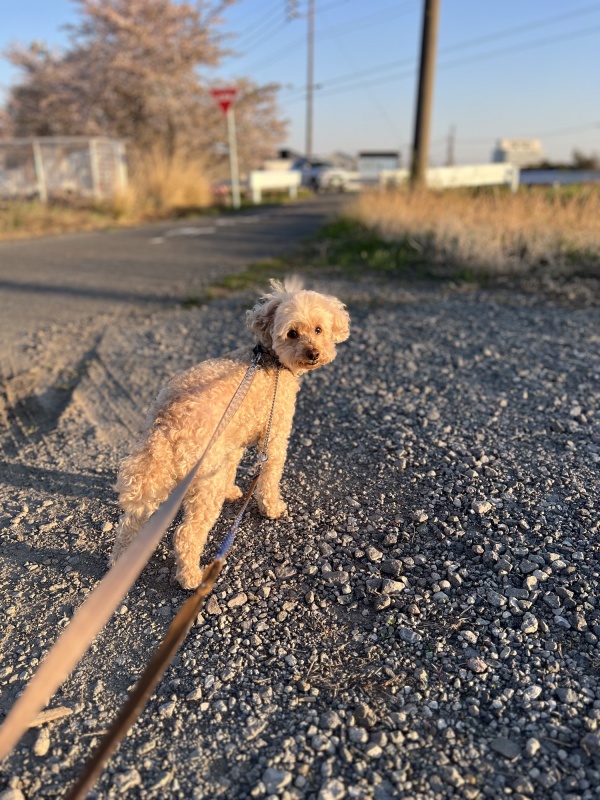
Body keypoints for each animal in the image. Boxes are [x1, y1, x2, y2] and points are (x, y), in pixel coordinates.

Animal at [109, 278, 350, 589]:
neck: (272, 360)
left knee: (130, 524)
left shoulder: (232, 442)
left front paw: (232, 490)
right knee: (186, 534)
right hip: (204, 483)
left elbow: (233, 467)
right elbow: (269, 477)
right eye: (292, 334)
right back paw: (192, 578)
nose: (313, 354)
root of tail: (164, 425)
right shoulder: (274, 434)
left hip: (162, 478)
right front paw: (272, 507)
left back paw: (119, 568)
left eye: (318, 330)